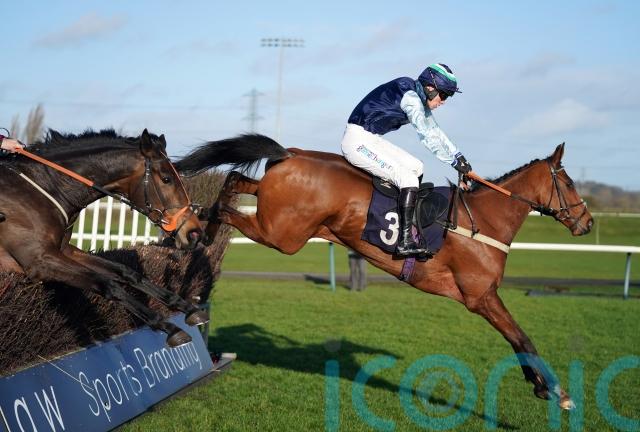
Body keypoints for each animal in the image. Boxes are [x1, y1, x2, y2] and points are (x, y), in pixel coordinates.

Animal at [0, 129, 208, 347]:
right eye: (166, 179)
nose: (194, 233)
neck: (43, 188)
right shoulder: (39, 260)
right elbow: (108, 284)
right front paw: (168, 326)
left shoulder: (64, 251)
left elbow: (126, 272)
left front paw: (187, 307)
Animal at [175, 136, 593, 409]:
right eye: (570, 183)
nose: (587, 222)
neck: (483, 223)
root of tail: (291, 153)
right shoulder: (481, 297)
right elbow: (523, 339)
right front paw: (559, 393)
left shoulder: (485, 298)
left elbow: (516, 340)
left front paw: (539, 385)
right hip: (282, 234)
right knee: (228, 208)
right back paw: (201, 230)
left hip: (274, 209)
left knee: (234, 180)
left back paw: (203, 229)